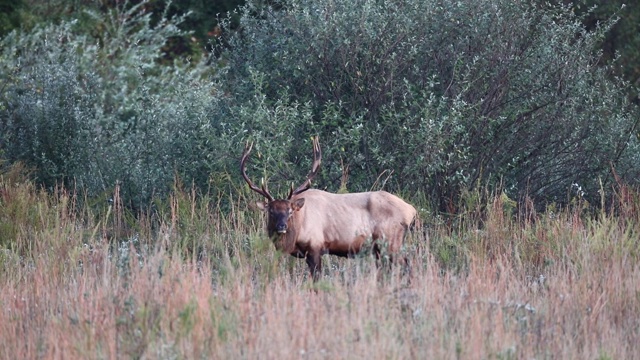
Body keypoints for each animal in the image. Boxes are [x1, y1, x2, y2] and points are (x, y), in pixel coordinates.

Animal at [239, 136, 416, 280]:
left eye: (290, 211)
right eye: (271, 211)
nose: (281, 227)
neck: (298, 230)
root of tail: (411, 211)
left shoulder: (315, 247)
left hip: (390, 241)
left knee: (407, 266)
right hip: (381, 248)